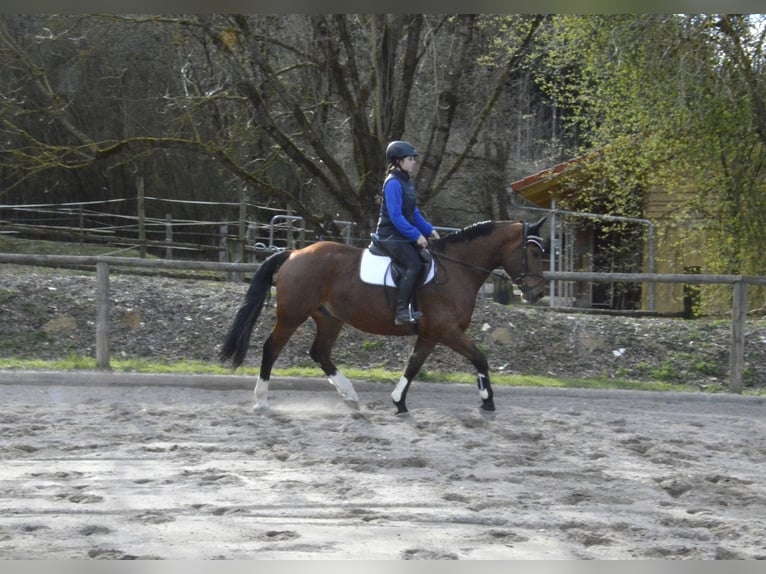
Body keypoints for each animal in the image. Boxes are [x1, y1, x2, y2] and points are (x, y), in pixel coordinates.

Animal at [220, 217, 547, 414]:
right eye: (534, 253)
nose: (537, 294)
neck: (457, 269)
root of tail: (294, 253)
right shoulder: (446, 330)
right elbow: (480, 358)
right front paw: (487, 400)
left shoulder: (430, 334)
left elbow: (413, 365)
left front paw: (399, 402)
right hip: (292, 315)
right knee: (271, 349)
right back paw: (261, 401)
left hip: (329, 318)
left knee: (320, 353)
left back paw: (350, 396)